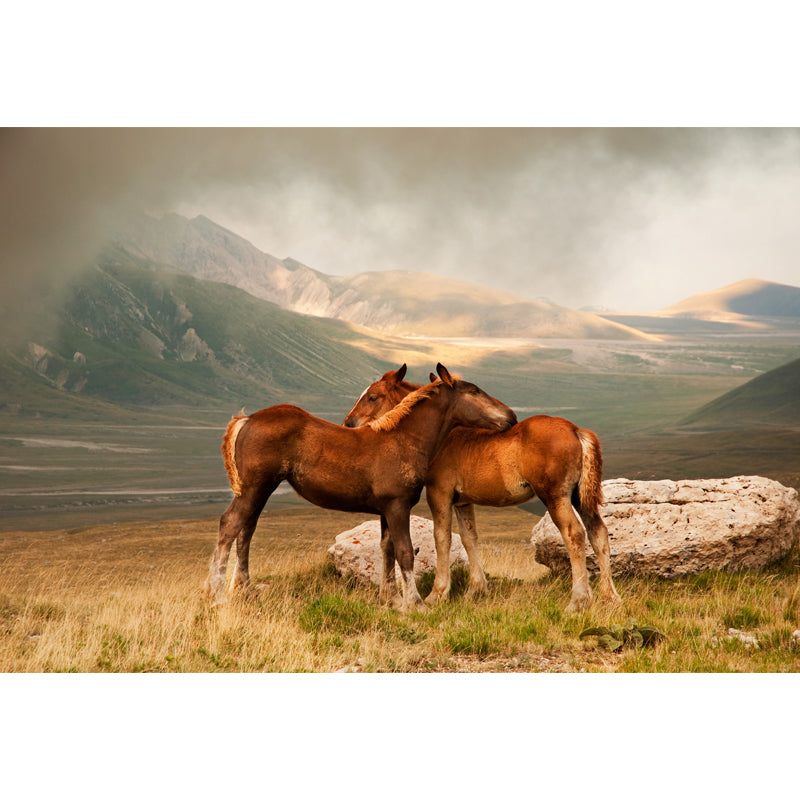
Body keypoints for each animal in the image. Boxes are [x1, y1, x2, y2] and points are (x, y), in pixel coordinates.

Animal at [205, 363, 517, 612]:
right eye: (474, 391)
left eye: (373, 396)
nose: (511, 415)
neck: (403, 439)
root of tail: (247, 419)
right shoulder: (397, 506)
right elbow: (405, 552)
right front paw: (414, 604)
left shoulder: (386, 510)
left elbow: (387, 549)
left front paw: (392, 600)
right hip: (254, 488)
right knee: (230, 524)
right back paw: (217, 595)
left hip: (260, 490)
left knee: (246, 530)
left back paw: (244, 589)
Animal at [343, 365, 620, 611]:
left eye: (372, 396)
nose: (348, 423)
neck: (443, 436)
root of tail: (576, 430)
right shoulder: (463, 500)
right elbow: (469, 538)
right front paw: (476, 589)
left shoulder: (439, 493)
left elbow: (442, 538)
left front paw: (437, 594)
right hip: (579, 497)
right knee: (598, 533)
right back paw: (609, 598)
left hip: (555, 496)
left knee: (575, 534)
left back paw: (579, 600)